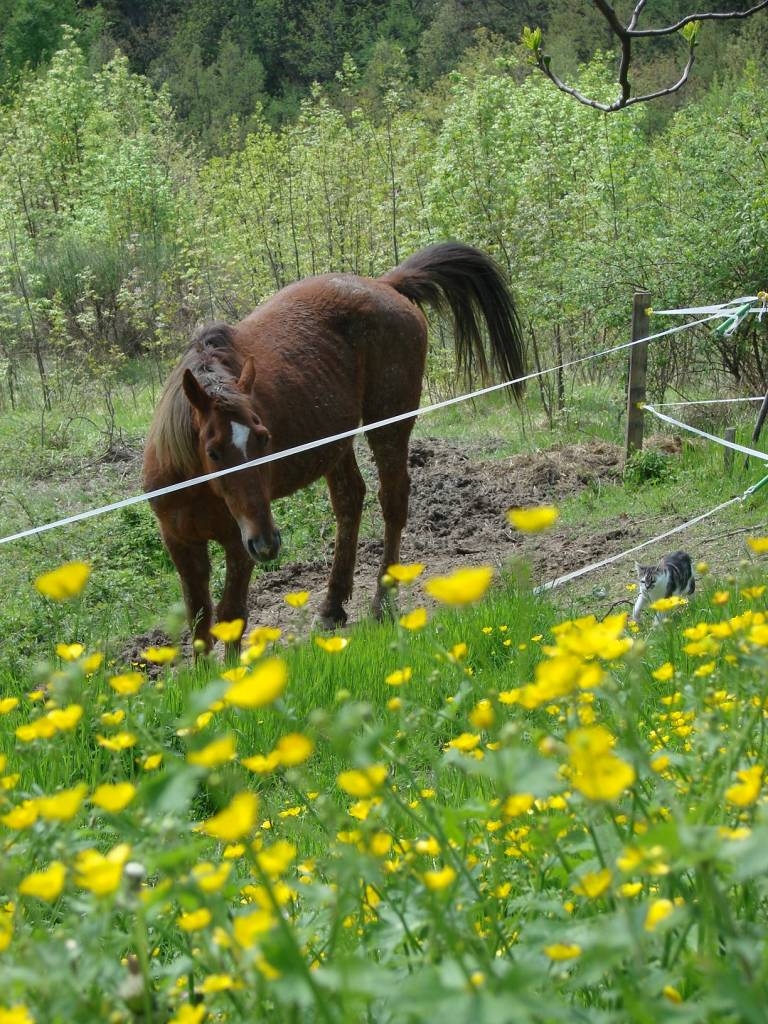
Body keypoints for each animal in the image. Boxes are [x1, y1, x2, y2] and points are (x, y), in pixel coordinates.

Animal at [143, 241, 528, 647]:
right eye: (214, 451)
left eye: (264, 439)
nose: (268, 543)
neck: (196, 482)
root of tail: (385, 284)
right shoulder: (181, 543)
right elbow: (199, 622)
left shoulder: (238, 540)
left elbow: (231, 616)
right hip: (335, 445)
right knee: (349, 500)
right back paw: (332, 606)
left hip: (388, 422)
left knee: (392, 501)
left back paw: (382, 601)